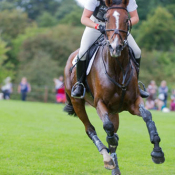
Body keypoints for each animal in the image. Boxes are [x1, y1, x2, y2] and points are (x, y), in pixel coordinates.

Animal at [63, 0, 165, 174]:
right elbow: (108, 128)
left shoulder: (133, 103)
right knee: (90, 129)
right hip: (78, 102)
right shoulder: (100, 103)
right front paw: (109, 150)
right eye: (106, 19)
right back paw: (107, 157)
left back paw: (115, 166)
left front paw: (157, 152)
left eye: (126, 19)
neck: (117, 68)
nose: (115, 48)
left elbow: (148, 116)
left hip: (114, 111)